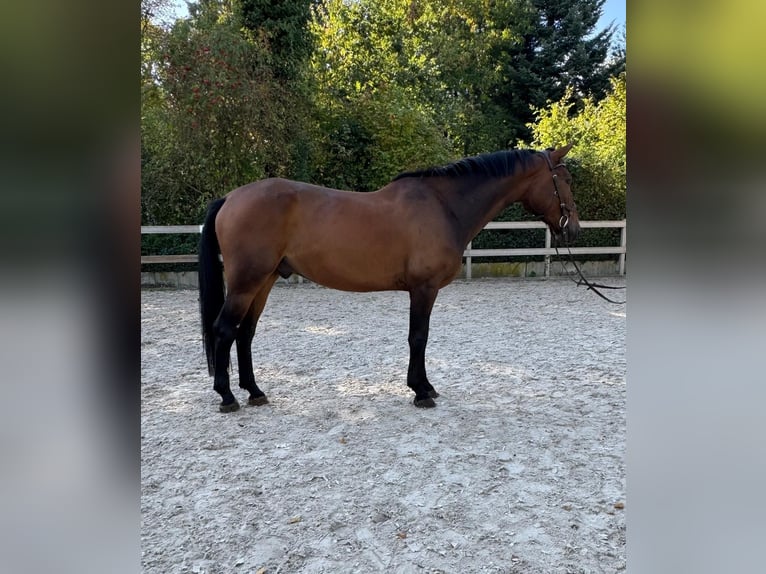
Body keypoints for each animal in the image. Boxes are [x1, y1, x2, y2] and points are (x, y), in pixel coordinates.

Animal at [198, 144, 579, 412]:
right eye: (565, 180)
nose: (573, 228)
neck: (443, 206)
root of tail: (231, 197)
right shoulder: (424, 289)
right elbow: (419, 337)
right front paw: (421, 391)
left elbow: (418, 338)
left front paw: (424, 386)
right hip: (247, 283)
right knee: (225, 330)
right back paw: (228, 396)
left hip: (264, 281)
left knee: (245, 333)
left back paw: (255, 391)